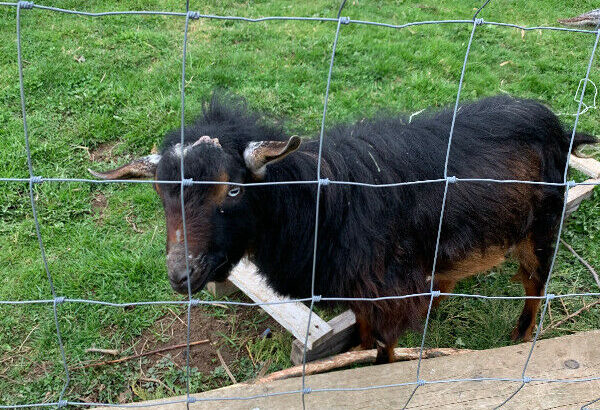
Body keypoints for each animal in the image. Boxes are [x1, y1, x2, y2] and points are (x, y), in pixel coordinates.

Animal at [91, 95, 596, 362]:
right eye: (162, 194)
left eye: (232, 191)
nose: (182, 275)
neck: (321, 204)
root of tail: (556, 123)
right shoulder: (362, 289)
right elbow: (366, 332)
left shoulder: (386, 291)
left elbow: (385, 349)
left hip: (540, 229)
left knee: (534, 285)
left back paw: (520, 337)